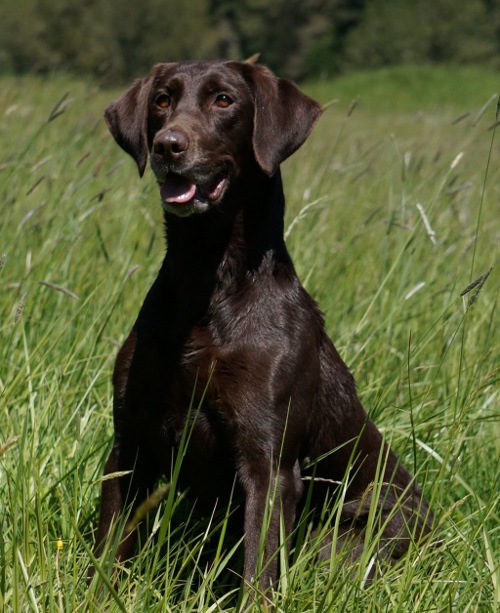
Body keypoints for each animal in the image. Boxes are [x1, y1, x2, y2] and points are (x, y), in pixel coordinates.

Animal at [93, 59, 434, 592]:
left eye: (224, 100)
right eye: (163, 100)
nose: (168, 145)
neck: (207, 282)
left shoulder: (268, 463)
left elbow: (259, 571)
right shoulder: (129, 443)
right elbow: (107, 550)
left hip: (350, 530)